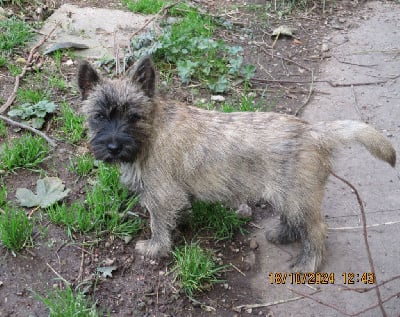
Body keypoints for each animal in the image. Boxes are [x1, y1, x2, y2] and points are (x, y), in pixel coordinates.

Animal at [76, 55, 396, 270]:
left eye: (133, 116)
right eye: (99, 116)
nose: (113, 147)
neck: (151, 131)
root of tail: (314, 132)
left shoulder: (161, 195)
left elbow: (158, 224)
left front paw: (155, 248)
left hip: (297, 197)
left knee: (316, 230)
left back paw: (309, 263)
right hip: (289, 195)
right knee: (296, 221)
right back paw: (283, 234)